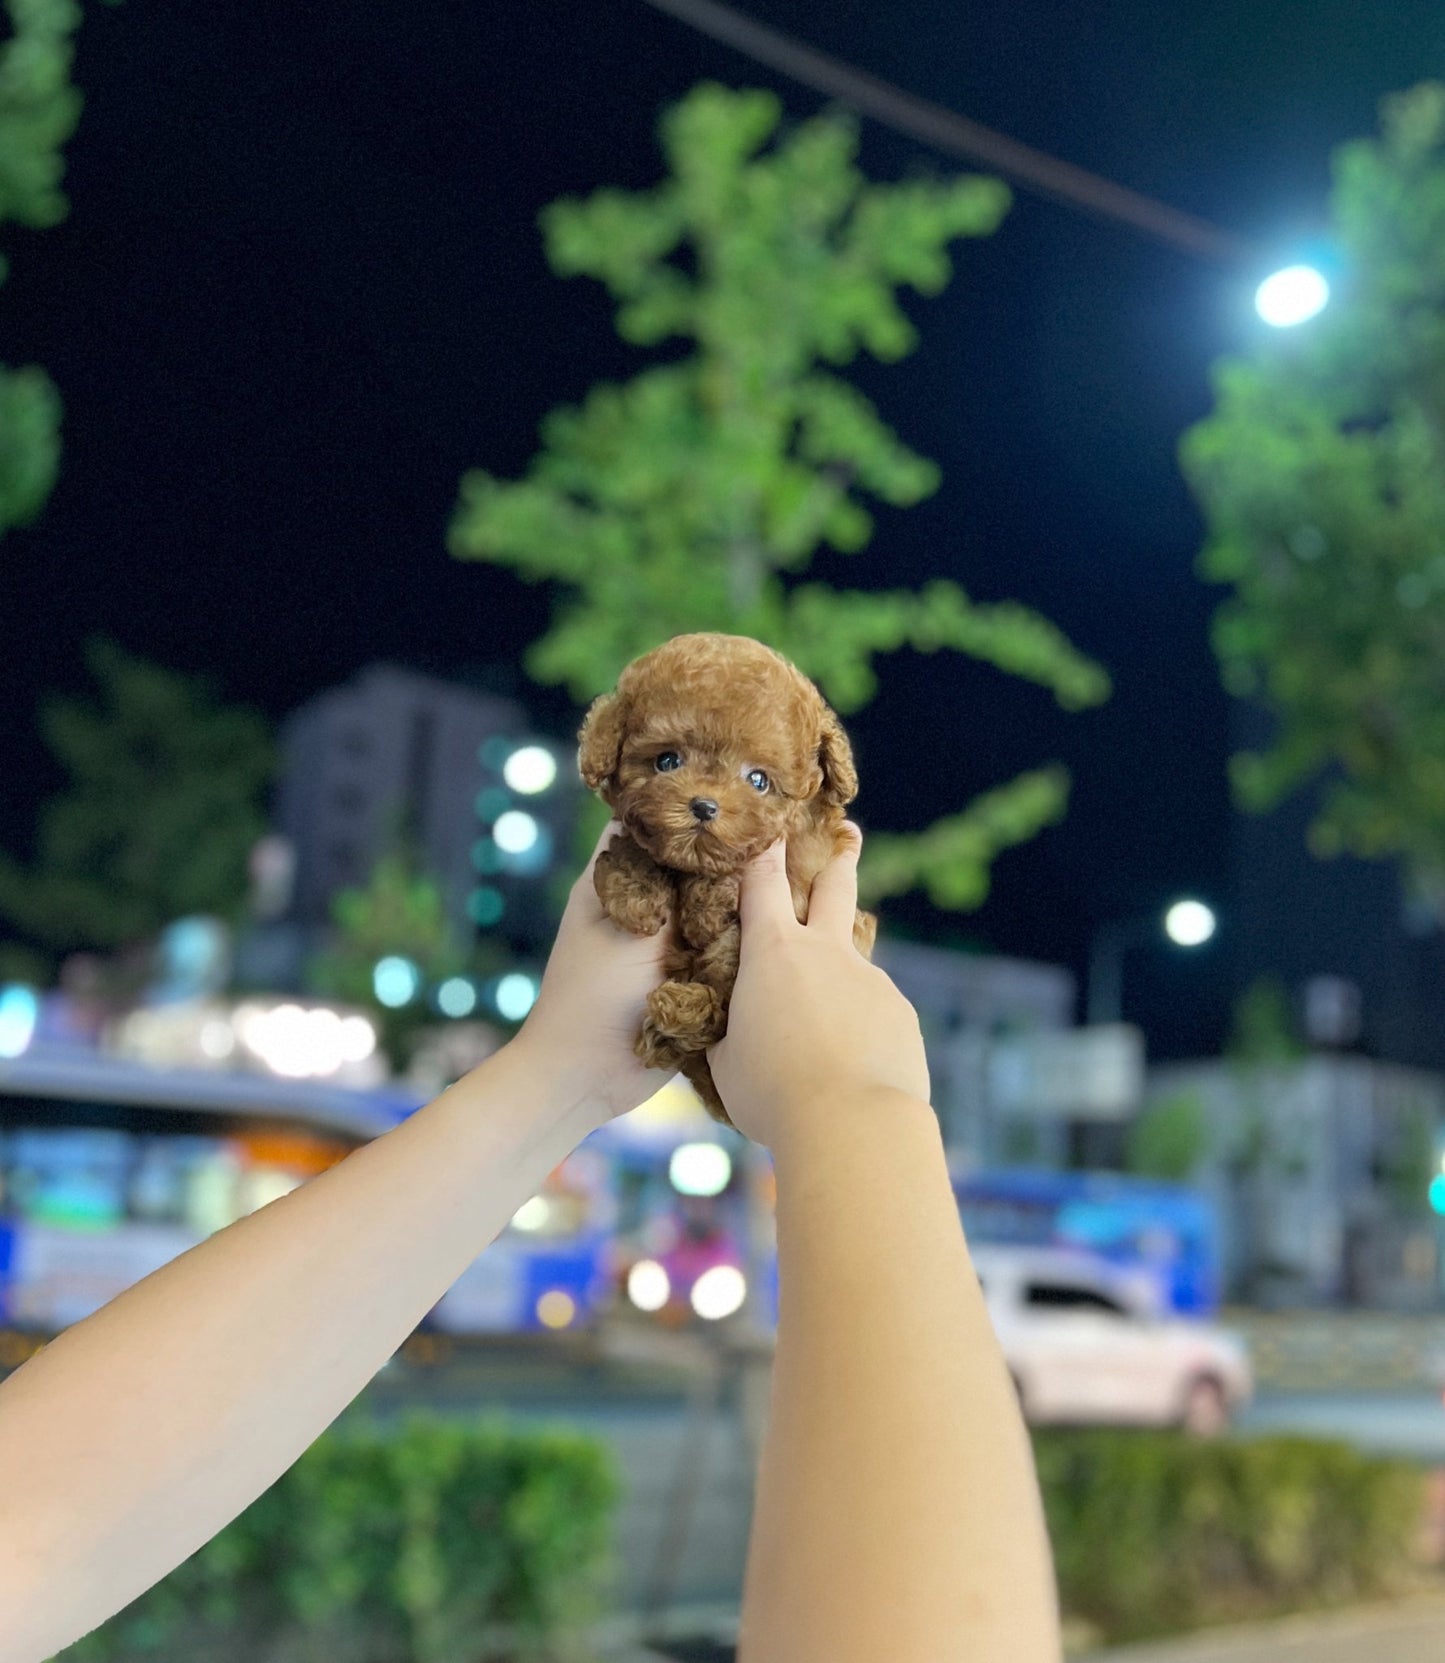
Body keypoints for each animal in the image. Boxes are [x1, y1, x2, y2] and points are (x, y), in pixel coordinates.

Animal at [578, 628, 871, 1124]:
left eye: (758, 780)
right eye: (667, 761)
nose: (703, 806)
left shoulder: (804, 871)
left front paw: (709, 904)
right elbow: (632, 852)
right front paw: (636, 899)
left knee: (718, 1013)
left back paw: (680, 1010)